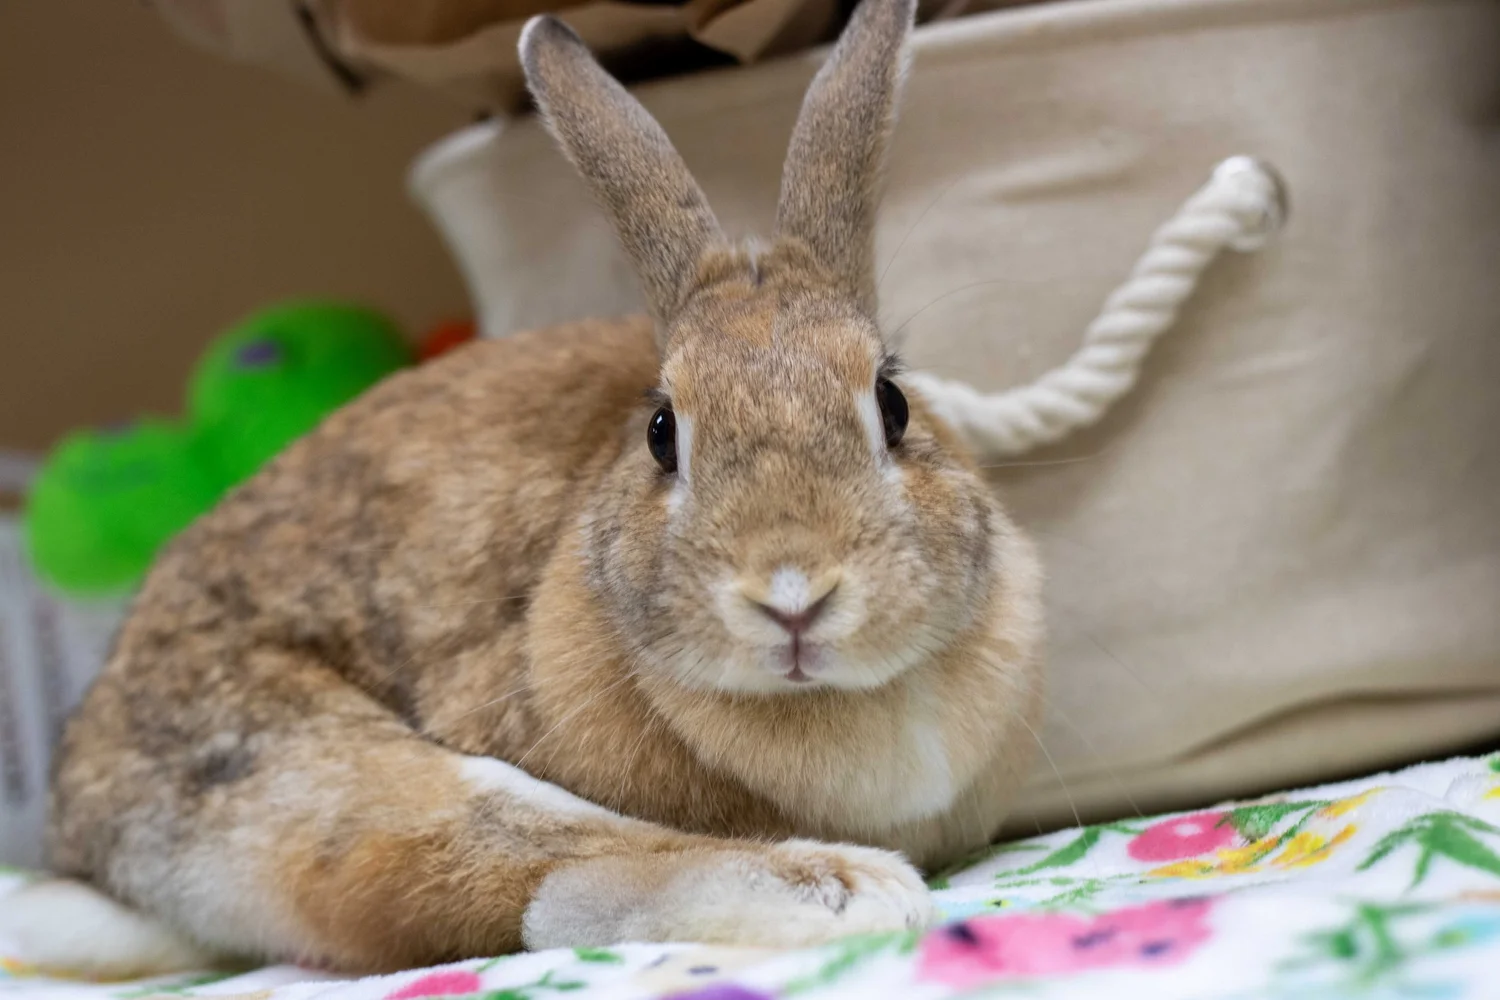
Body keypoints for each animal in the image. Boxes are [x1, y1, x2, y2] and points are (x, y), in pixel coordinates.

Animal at [28, 0, 1043, 978]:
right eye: (663, 433)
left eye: (893, 404)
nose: (792, 595)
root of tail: (85, 811)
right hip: (306, 765)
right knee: (528, 869)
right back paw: (842, 888)